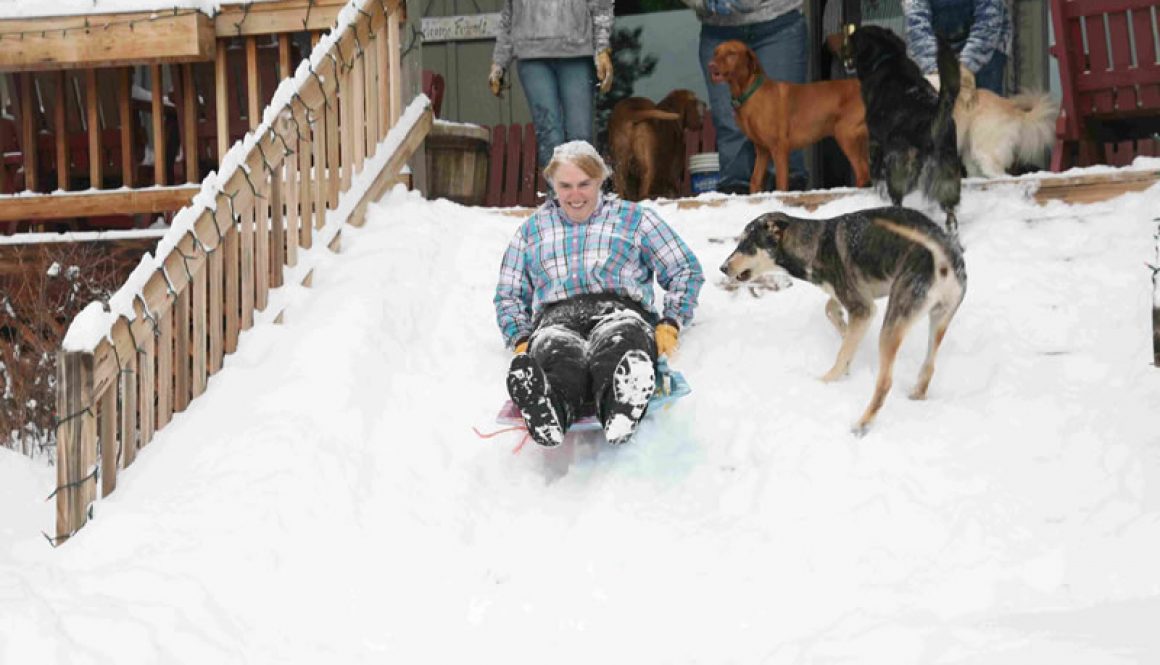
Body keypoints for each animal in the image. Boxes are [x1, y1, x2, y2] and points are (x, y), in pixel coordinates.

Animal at [705, 39, 872, 191]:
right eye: (715, 52)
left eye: (731, 53)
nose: (710, 65)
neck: (750, 93)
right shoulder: (762, 149)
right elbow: (754, 181)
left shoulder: (779, 148)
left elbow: (781, 184)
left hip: (846, 134)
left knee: (863, 173)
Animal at [719, 208, 965, 436]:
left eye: (747, 244)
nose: (722, 268)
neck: (816, 242)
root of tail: (942, 254)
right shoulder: (858, 300)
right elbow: (832, 313)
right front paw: (847, 341)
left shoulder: (862, 308)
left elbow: (841, 353)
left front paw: (829, 378)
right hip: (939, 320)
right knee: (929, 367)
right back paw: (917, 395)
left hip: (891, 325)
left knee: (885, 383)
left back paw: (861, 423)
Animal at [844, 26, 960, 239]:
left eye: (852, 40)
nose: (843, 53)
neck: (887, 57)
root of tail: (928, 123)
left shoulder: (874, 140)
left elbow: (874, 172)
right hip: (948, 177)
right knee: (950, 214)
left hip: (897, 168)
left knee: (897, 201)